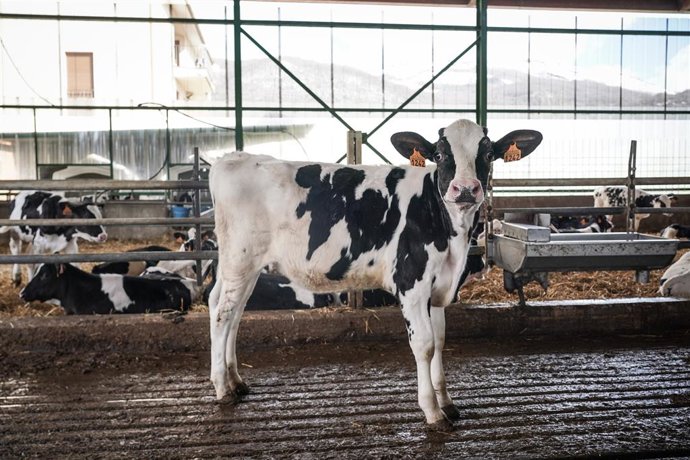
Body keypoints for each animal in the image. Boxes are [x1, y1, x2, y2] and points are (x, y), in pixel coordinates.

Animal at [207, 118, 542, 431]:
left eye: (487, 153)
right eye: (441, 154)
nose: (466, 189)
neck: (449, 231)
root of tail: (233, 158)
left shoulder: (438, 287)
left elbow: (440, 340)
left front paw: (447, 402)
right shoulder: (411, 284)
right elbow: (424, 345)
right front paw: (432, 412)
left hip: (242, 267)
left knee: (227, 310)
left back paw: (235, 380)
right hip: (240, 260)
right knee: (224, 314)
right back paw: (223, 388)